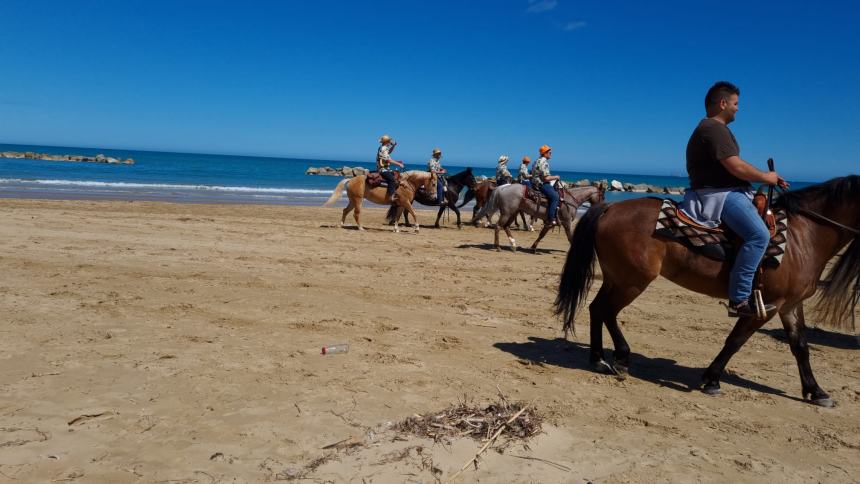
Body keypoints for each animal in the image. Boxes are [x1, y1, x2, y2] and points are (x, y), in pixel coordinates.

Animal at [556, 176, 856, 406]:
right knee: (607, 311)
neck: (803, 237)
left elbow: (801, 346)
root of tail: (610, 209)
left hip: (617, 278)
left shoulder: (790, 305)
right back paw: (620, 358)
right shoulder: (765, 306)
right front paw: (711, 379)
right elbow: (735, 341)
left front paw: (817, 391)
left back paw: (599, 359)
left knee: (597, 309)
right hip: (632, 282)